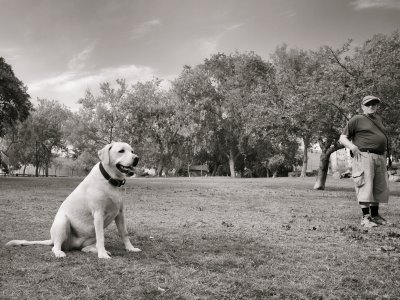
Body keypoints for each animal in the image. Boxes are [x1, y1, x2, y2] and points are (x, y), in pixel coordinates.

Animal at [5, 141, 141, 258]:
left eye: (132, 151)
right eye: (121, 151)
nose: (137, 158)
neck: (109, 180)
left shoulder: (120, 213)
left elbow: (124, 233)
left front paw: (130, 248)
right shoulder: (98, 214)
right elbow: (101, 238)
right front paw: (102, 255)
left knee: (85, 248)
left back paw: (94, 250)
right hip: (63, 222)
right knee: (56, 246)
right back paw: (60, 252)